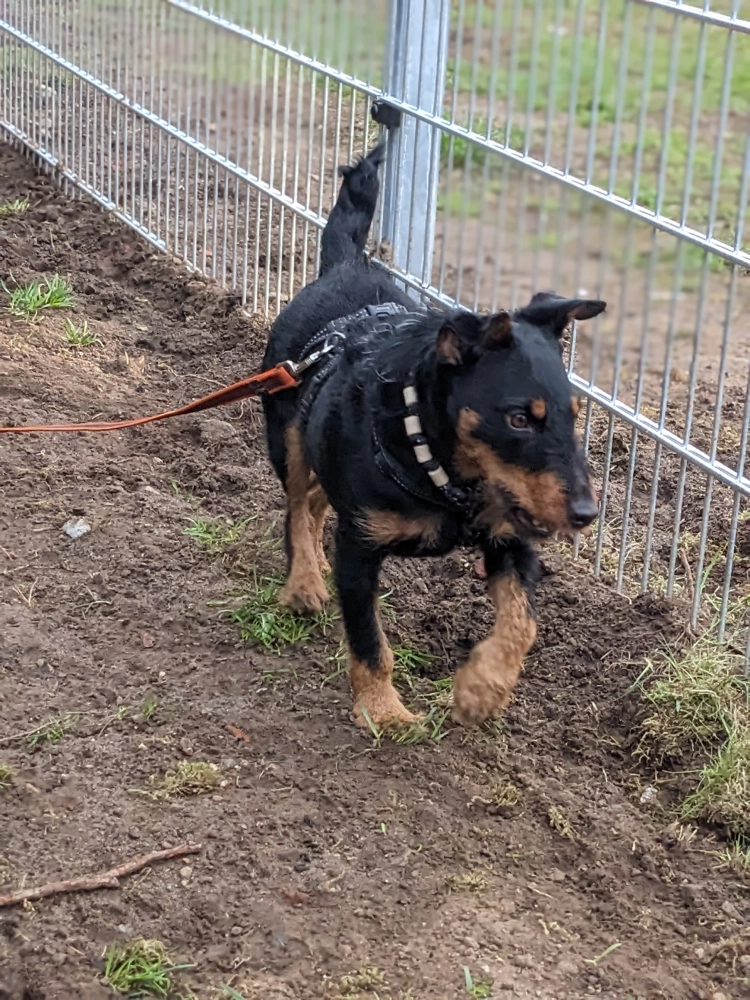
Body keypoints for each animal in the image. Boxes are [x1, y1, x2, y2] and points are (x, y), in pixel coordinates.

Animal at [262, 143, 604, 728]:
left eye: (574, 415)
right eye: (519, 419)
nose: (585, 514)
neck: (440, 470)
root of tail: (346, 264)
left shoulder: (511, 537)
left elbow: (523, 623)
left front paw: (480, 691)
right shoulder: (361, 549)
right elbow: (368, 639)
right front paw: (384, 712)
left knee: (317, 502)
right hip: (286, 435)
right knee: (297, 505)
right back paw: (304, 581)